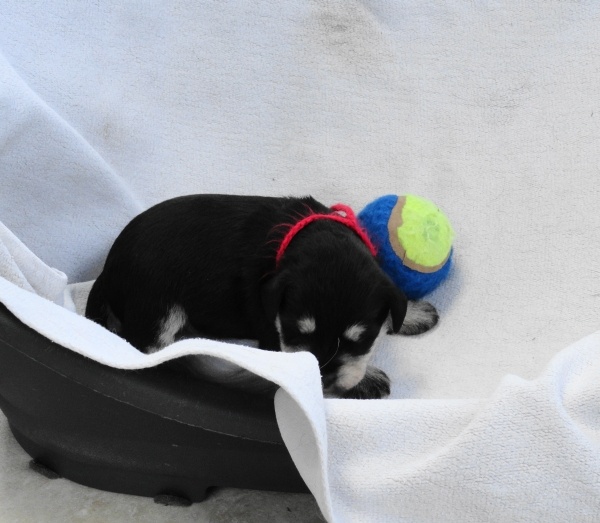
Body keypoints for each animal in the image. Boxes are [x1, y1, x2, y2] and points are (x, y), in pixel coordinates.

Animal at [86, 195, 438, 399]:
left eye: (360, 339)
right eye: (296, 331)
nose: (322, 380)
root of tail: (107, 270)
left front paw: (415, 314)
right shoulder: (274, 335)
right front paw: (368, 381)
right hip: (157, 308)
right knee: (154, 352)